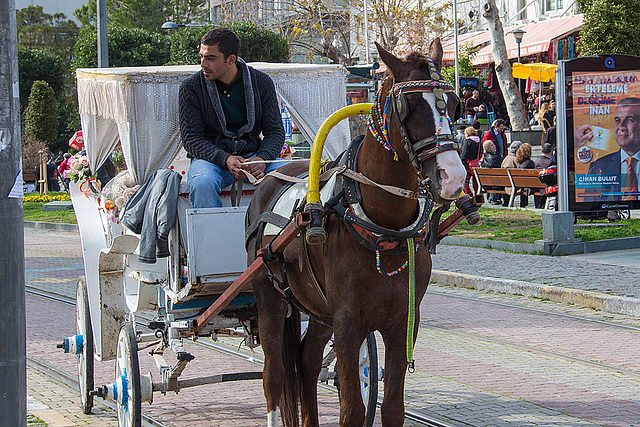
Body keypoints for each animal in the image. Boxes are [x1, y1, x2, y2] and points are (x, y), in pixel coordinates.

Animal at [246, 38, 464, 426]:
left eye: (454, 103)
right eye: (408, 107)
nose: (453, 177)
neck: (382, 228)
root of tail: (268, 177)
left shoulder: (404, 322)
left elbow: (392, 408)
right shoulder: (348, 323)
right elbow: (352, 410)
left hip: (318, 312)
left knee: (306, 361)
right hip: (269, 299)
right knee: (274, 376)